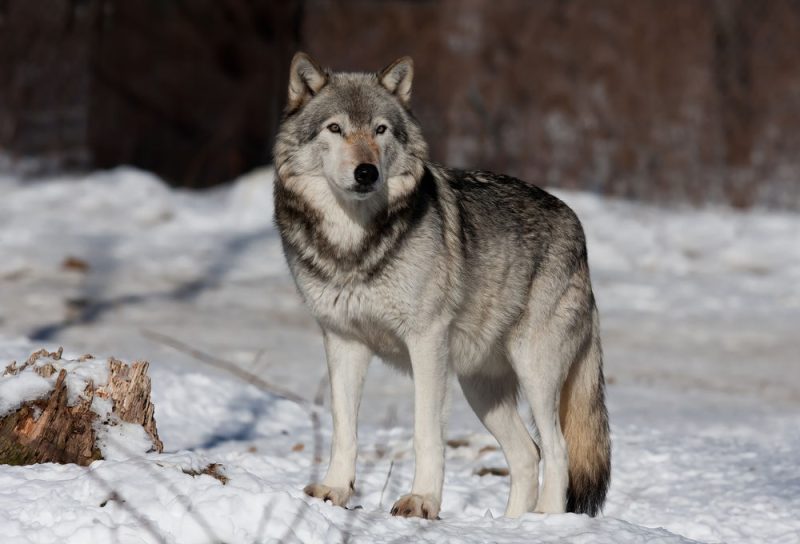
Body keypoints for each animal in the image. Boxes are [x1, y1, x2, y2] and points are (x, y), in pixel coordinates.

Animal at [273, 52, 611, 520]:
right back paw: (512, 525)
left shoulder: (426, 342)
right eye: (335, 128)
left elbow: (425, 432)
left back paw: (544, 520)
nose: (366, 172)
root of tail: (577, 228)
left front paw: (422, 501)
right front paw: (335, 490)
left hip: (534, 370)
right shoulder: (343, 341)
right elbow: (344, 427)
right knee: (529, 454)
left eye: (380, 129)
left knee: (557, 450)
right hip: (479, 387)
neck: (354, 246)